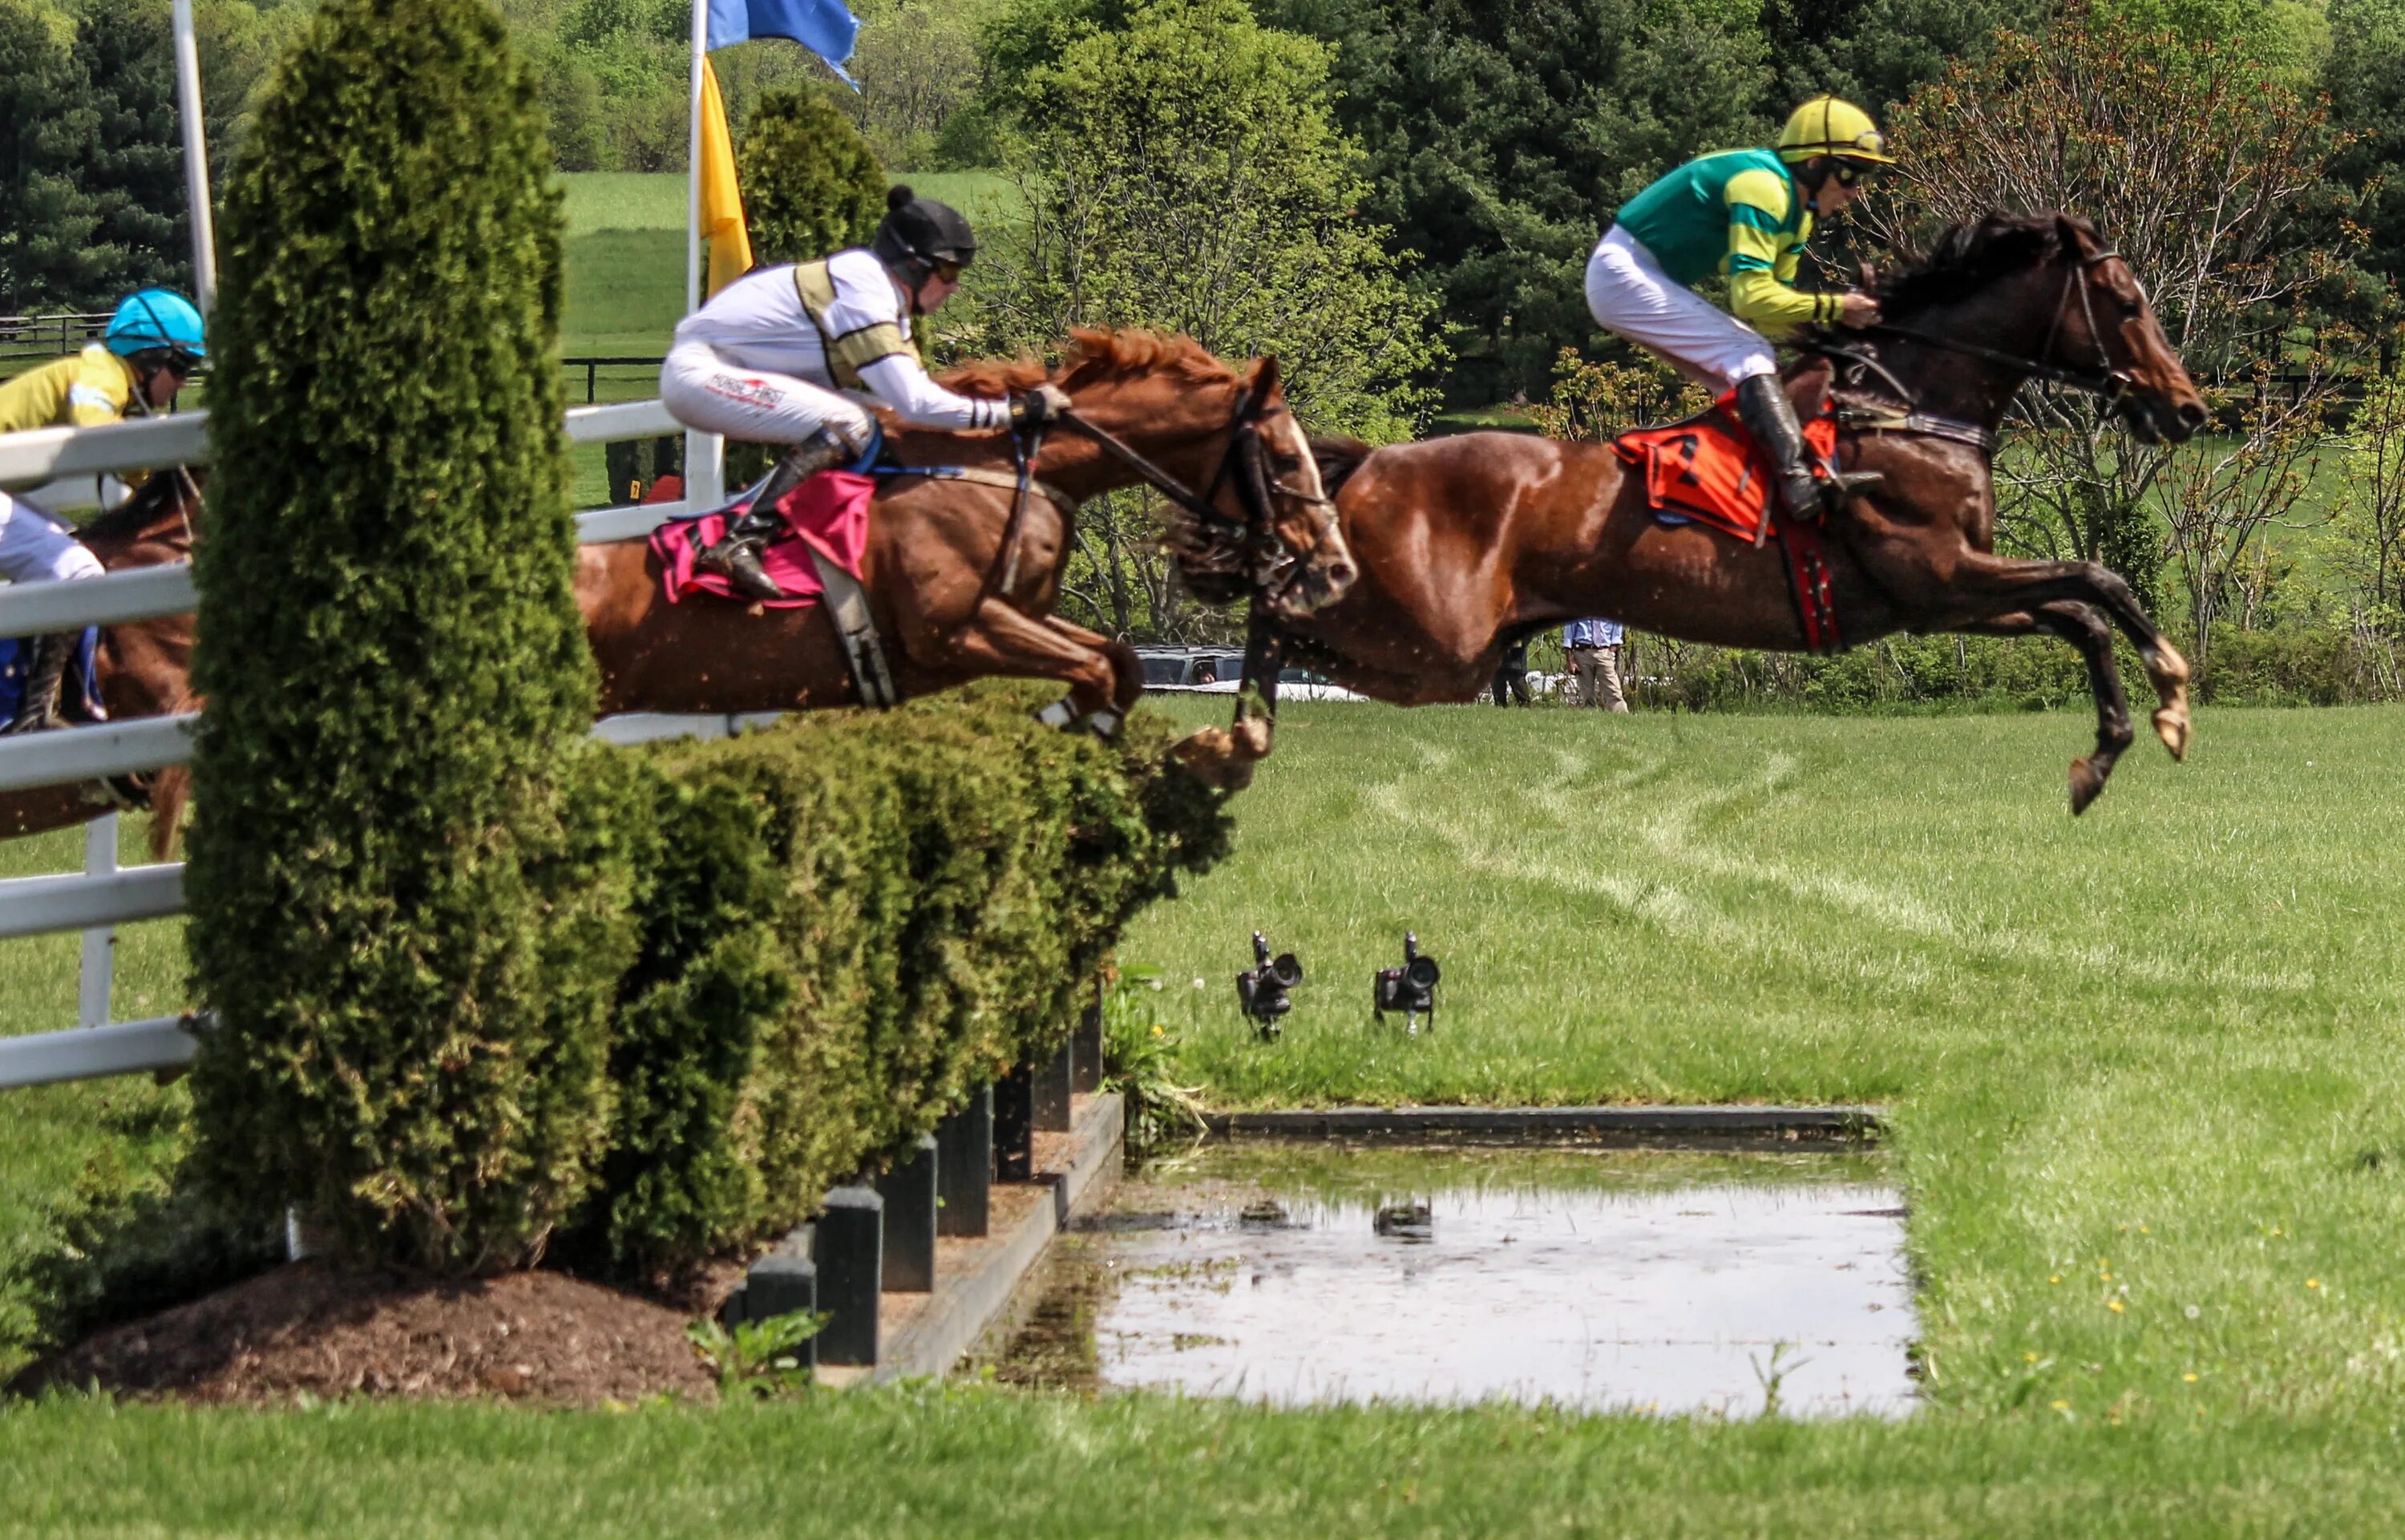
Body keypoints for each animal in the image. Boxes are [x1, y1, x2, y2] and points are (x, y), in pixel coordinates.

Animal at [572, 327, 1347, 779]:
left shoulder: (1014, 613)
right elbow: (1100, 668)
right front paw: (1046, 732)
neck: (1005, 469)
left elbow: (1120, 663)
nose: (1334, 563)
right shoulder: (953, 632)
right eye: (1283, 458)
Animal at [1251, 216, 2203, 818]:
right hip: (1433, 641)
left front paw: (2108, 752)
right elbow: (2099, 578)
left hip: (1442, 646)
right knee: (1277, 619)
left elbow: (2081, 611)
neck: (1913, 406)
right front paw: (2172, 693)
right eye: (2126, 304)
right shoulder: (1938, 574)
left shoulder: (1941, 598)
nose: (2187, 409)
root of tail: (1375, 459)